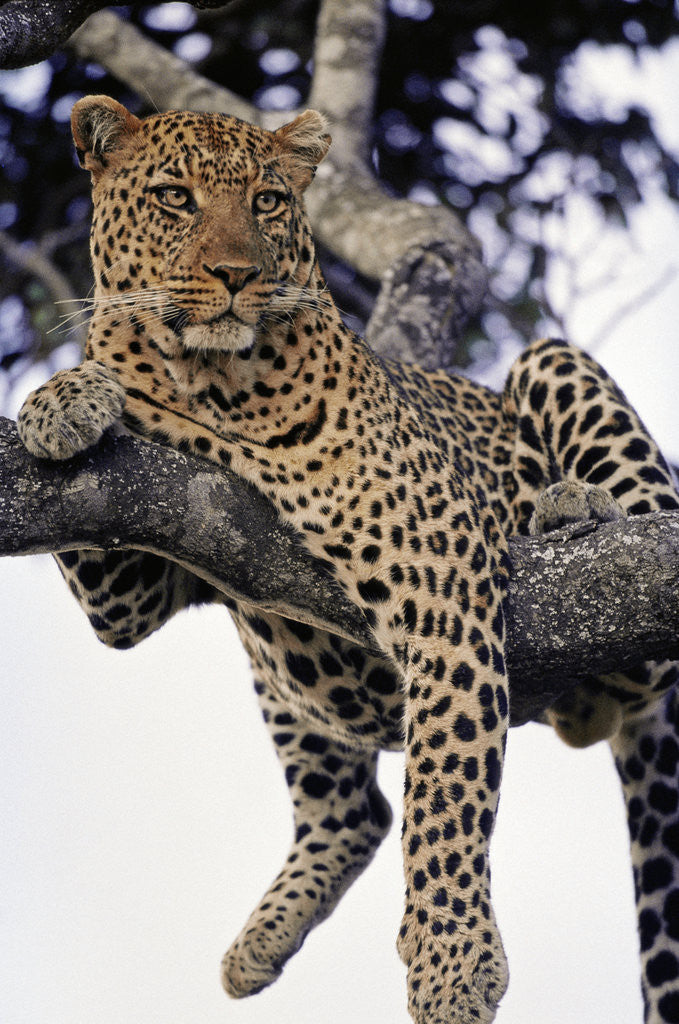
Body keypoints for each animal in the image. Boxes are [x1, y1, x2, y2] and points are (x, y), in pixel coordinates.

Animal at [15, 94, 679, 1023]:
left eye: (265, 201)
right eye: (175, 198)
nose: (233, 275)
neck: (210, 386)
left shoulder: (440, 587)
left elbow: (445, 789)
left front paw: (452, 966)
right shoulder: (128, 581)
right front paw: (65, 396)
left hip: (553, 365)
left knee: (646, 576)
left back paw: (572, 507)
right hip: (279, 670)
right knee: (354, 809)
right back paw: (257, 946)